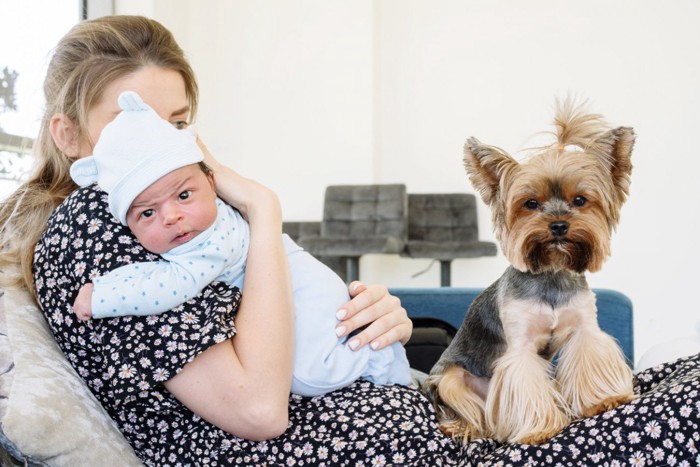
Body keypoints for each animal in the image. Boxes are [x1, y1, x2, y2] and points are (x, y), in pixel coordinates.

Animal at [424, 101, 636, 446]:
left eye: (580, 200)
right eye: (531, 203)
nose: (559, 225)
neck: (551, 273)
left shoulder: (583, 329)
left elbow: (587, 357)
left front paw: (602, 400)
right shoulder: (520, 347)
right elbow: (525, 385)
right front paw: (540, 428)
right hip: (451, 378)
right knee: (468, 409)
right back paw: (464, 427)